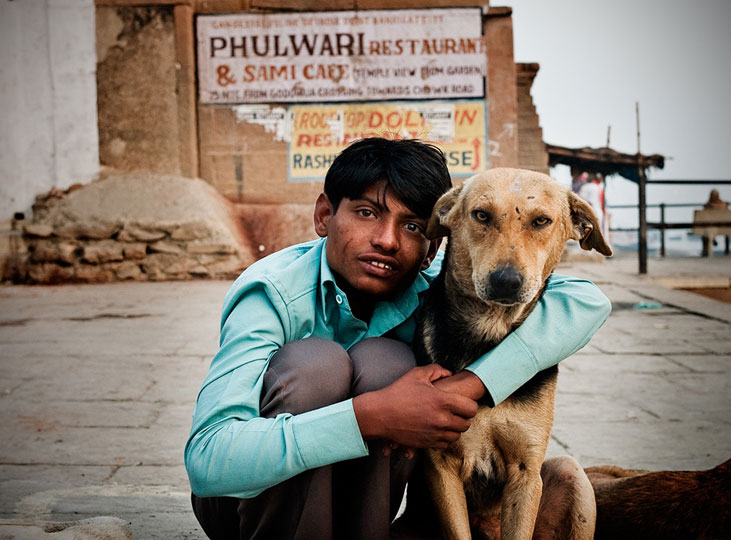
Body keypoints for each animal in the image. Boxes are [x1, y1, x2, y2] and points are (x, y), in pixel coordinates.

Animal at [406, 169, 612, 540]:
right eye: (481, 215)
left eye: (542, 221)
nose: (506, 281)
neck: (487, 334)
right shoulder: (441, 467)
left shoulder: (525, 471)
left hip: (572, 475)